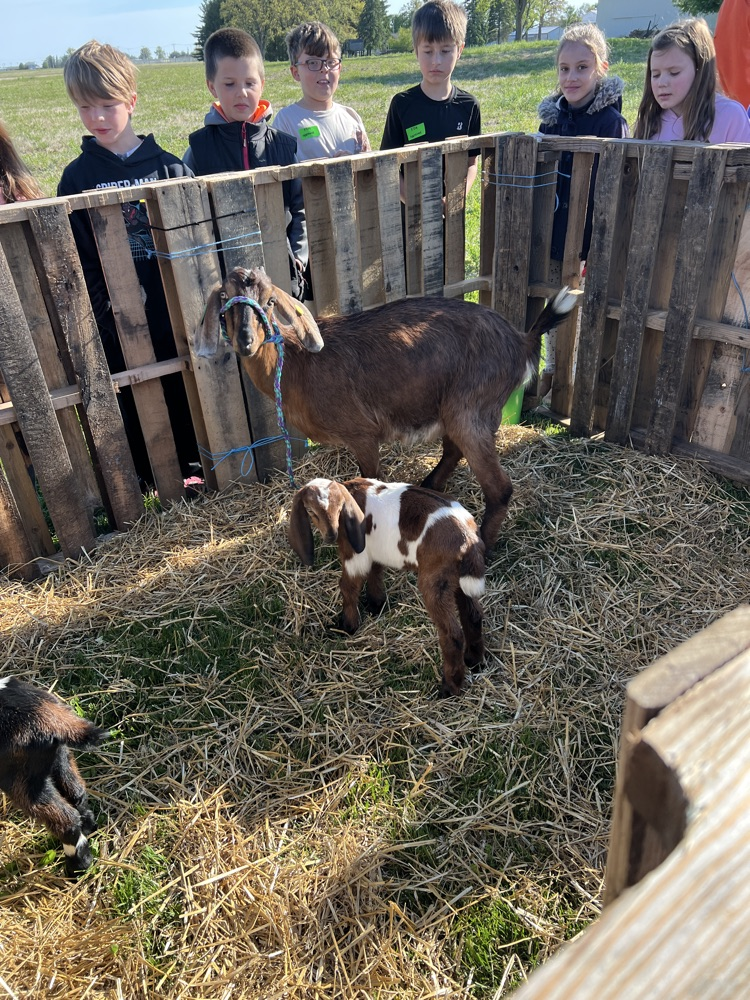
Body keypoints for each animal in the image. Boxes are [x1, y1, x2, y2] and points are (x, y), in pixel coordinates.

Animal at [0, 677, 107, 876]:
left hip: (21, 780)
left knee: (66, 819)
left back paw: (76, 867)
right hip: (59, 758)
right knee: (77, 794)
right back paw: (89, 829)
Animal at [197, 266, 580, 552]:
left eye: (271, 300)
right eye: (224, 301)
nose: (246, 341)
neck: (297, 365)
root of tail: (521, 341)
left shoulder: (362, 433)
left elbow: (368, 482)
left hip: (471, 407)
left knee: (499, 487)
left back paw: (480, 547)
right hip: (453, 408)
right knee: (454, 450)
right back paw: (429, 486)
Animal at [288, 477, 486, 696]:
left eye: (339, 508)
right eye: (310, 511)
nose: (331, 535)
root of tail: (468, 539)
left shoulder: (354, 555)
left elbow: (348, 586)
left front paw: (348, 626)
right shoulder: (373, 550)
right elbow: (375, 571)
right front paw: (376, 605)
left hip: (434, 581)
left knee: (452, 635)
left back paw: (449, 688)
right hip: (457, 580)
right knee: (473, 614)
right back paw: (474, 660)